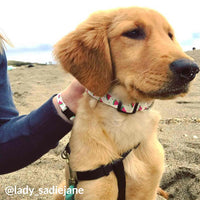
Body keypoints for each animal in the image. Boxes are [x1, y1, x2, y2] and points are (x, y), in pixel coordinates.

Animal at [53, 6, 198, 200]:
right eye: (133, 32)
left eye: (170, 35)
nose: (190, 69)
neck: (126, 116)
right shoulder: (93, 189)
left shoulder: (148, 190)